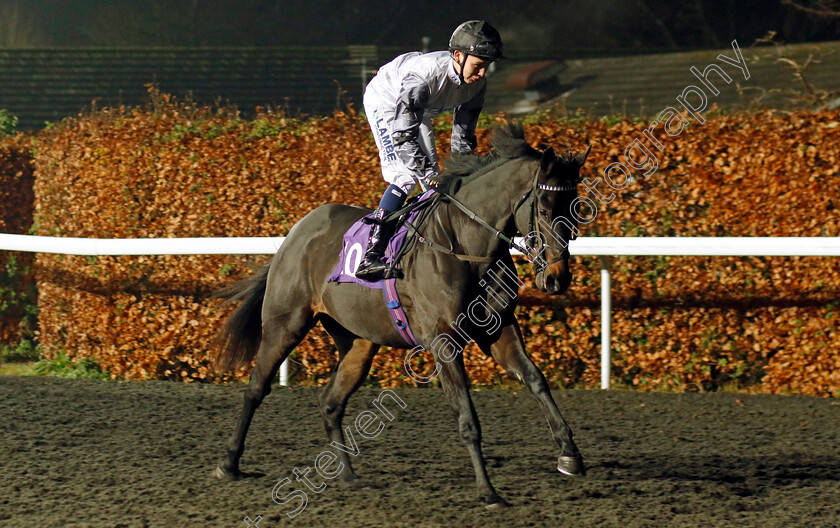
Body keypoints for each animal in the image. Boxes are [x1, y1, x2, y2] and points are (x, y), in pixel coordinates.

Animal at [210, 120, 592, 508]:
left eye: (576, 209)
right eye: (543, 210)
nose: (557, 278)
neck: (464, 245)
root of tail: (297, 232)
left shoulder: (498, 330)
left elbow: (536, 380)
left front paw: (569, 454)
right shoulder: (443, 341)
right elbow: (467, 417)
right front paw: (488, 491)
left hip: (358, 341)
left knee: (331, 402)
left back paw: (348, 476)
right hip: (285, 324)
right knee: (256, 388)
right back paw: (229, 464)